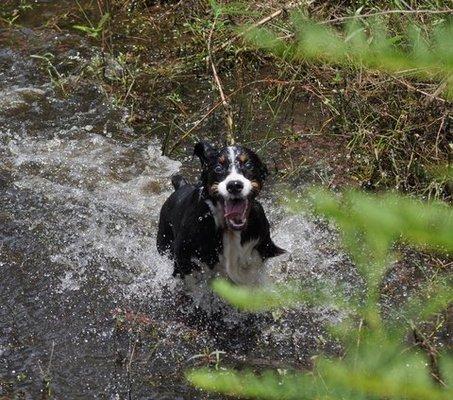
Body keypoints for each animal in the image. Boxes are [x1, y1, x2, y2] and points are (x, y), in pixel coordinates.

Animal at [155, 141, 282, 284]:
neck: (229, 229)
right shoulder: (183, 254)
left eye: (248, 165)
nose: (234, 185)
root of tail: (180, 186)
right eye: (218, 168)